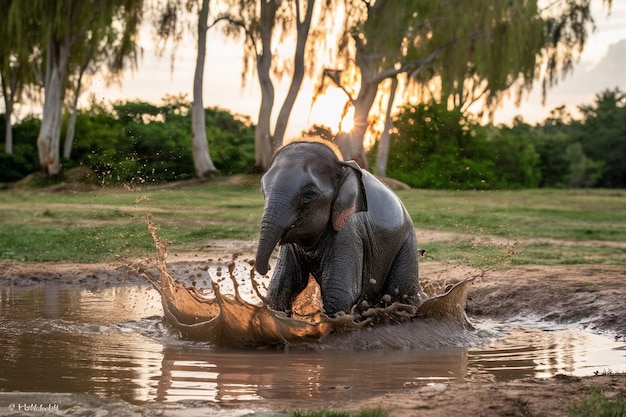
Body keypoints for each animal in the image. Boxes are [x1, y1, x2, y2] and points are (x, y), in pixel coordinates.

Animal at [254, 138, 420, 314]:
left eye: (309, 195)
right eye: (262, 190)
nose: (266, 268)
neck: (342, 166)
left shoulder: (349, 232)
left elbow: (338, 296)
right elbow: (279, 290)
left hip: (407, 242)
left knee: (400, 293)